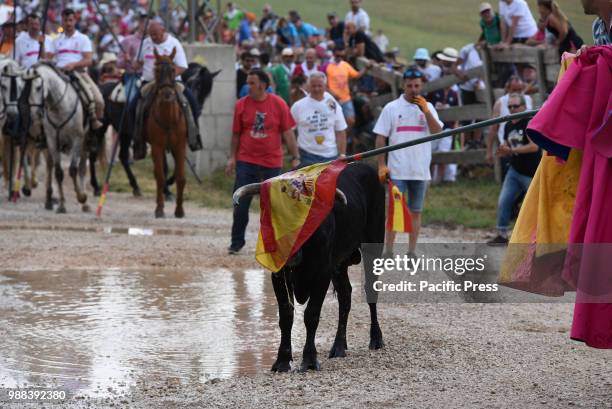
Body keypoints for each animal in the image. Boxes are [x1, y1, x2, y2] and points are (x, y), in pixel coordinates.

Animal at [24, 63, 89, 214]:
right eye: (28, 87)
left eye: (38, 87)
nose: (34, 113)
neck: (60, 107)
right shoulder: (52, 141)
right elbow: (58, 172)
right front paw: (62, 205)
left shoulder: (77, 140)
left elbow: (73, 169)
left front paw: (81, 197)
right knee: (50, 166)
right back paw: (48, 200)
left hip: (85, 144)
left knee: (82, 167)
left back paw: (85, 202)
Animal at [233, 162, 382, 370]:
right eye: (274, 214)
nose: (289, 253)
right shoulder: (279, 275)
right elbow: (286, 316)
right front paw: (282, 361)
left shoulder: (322, 274)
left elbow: (311, 315)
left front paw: (310, 359)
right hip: (340, 264)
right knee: (345, 296)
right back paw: (339, 346)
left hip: (373, 248)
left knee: (370, 291)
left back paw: (376, 339)